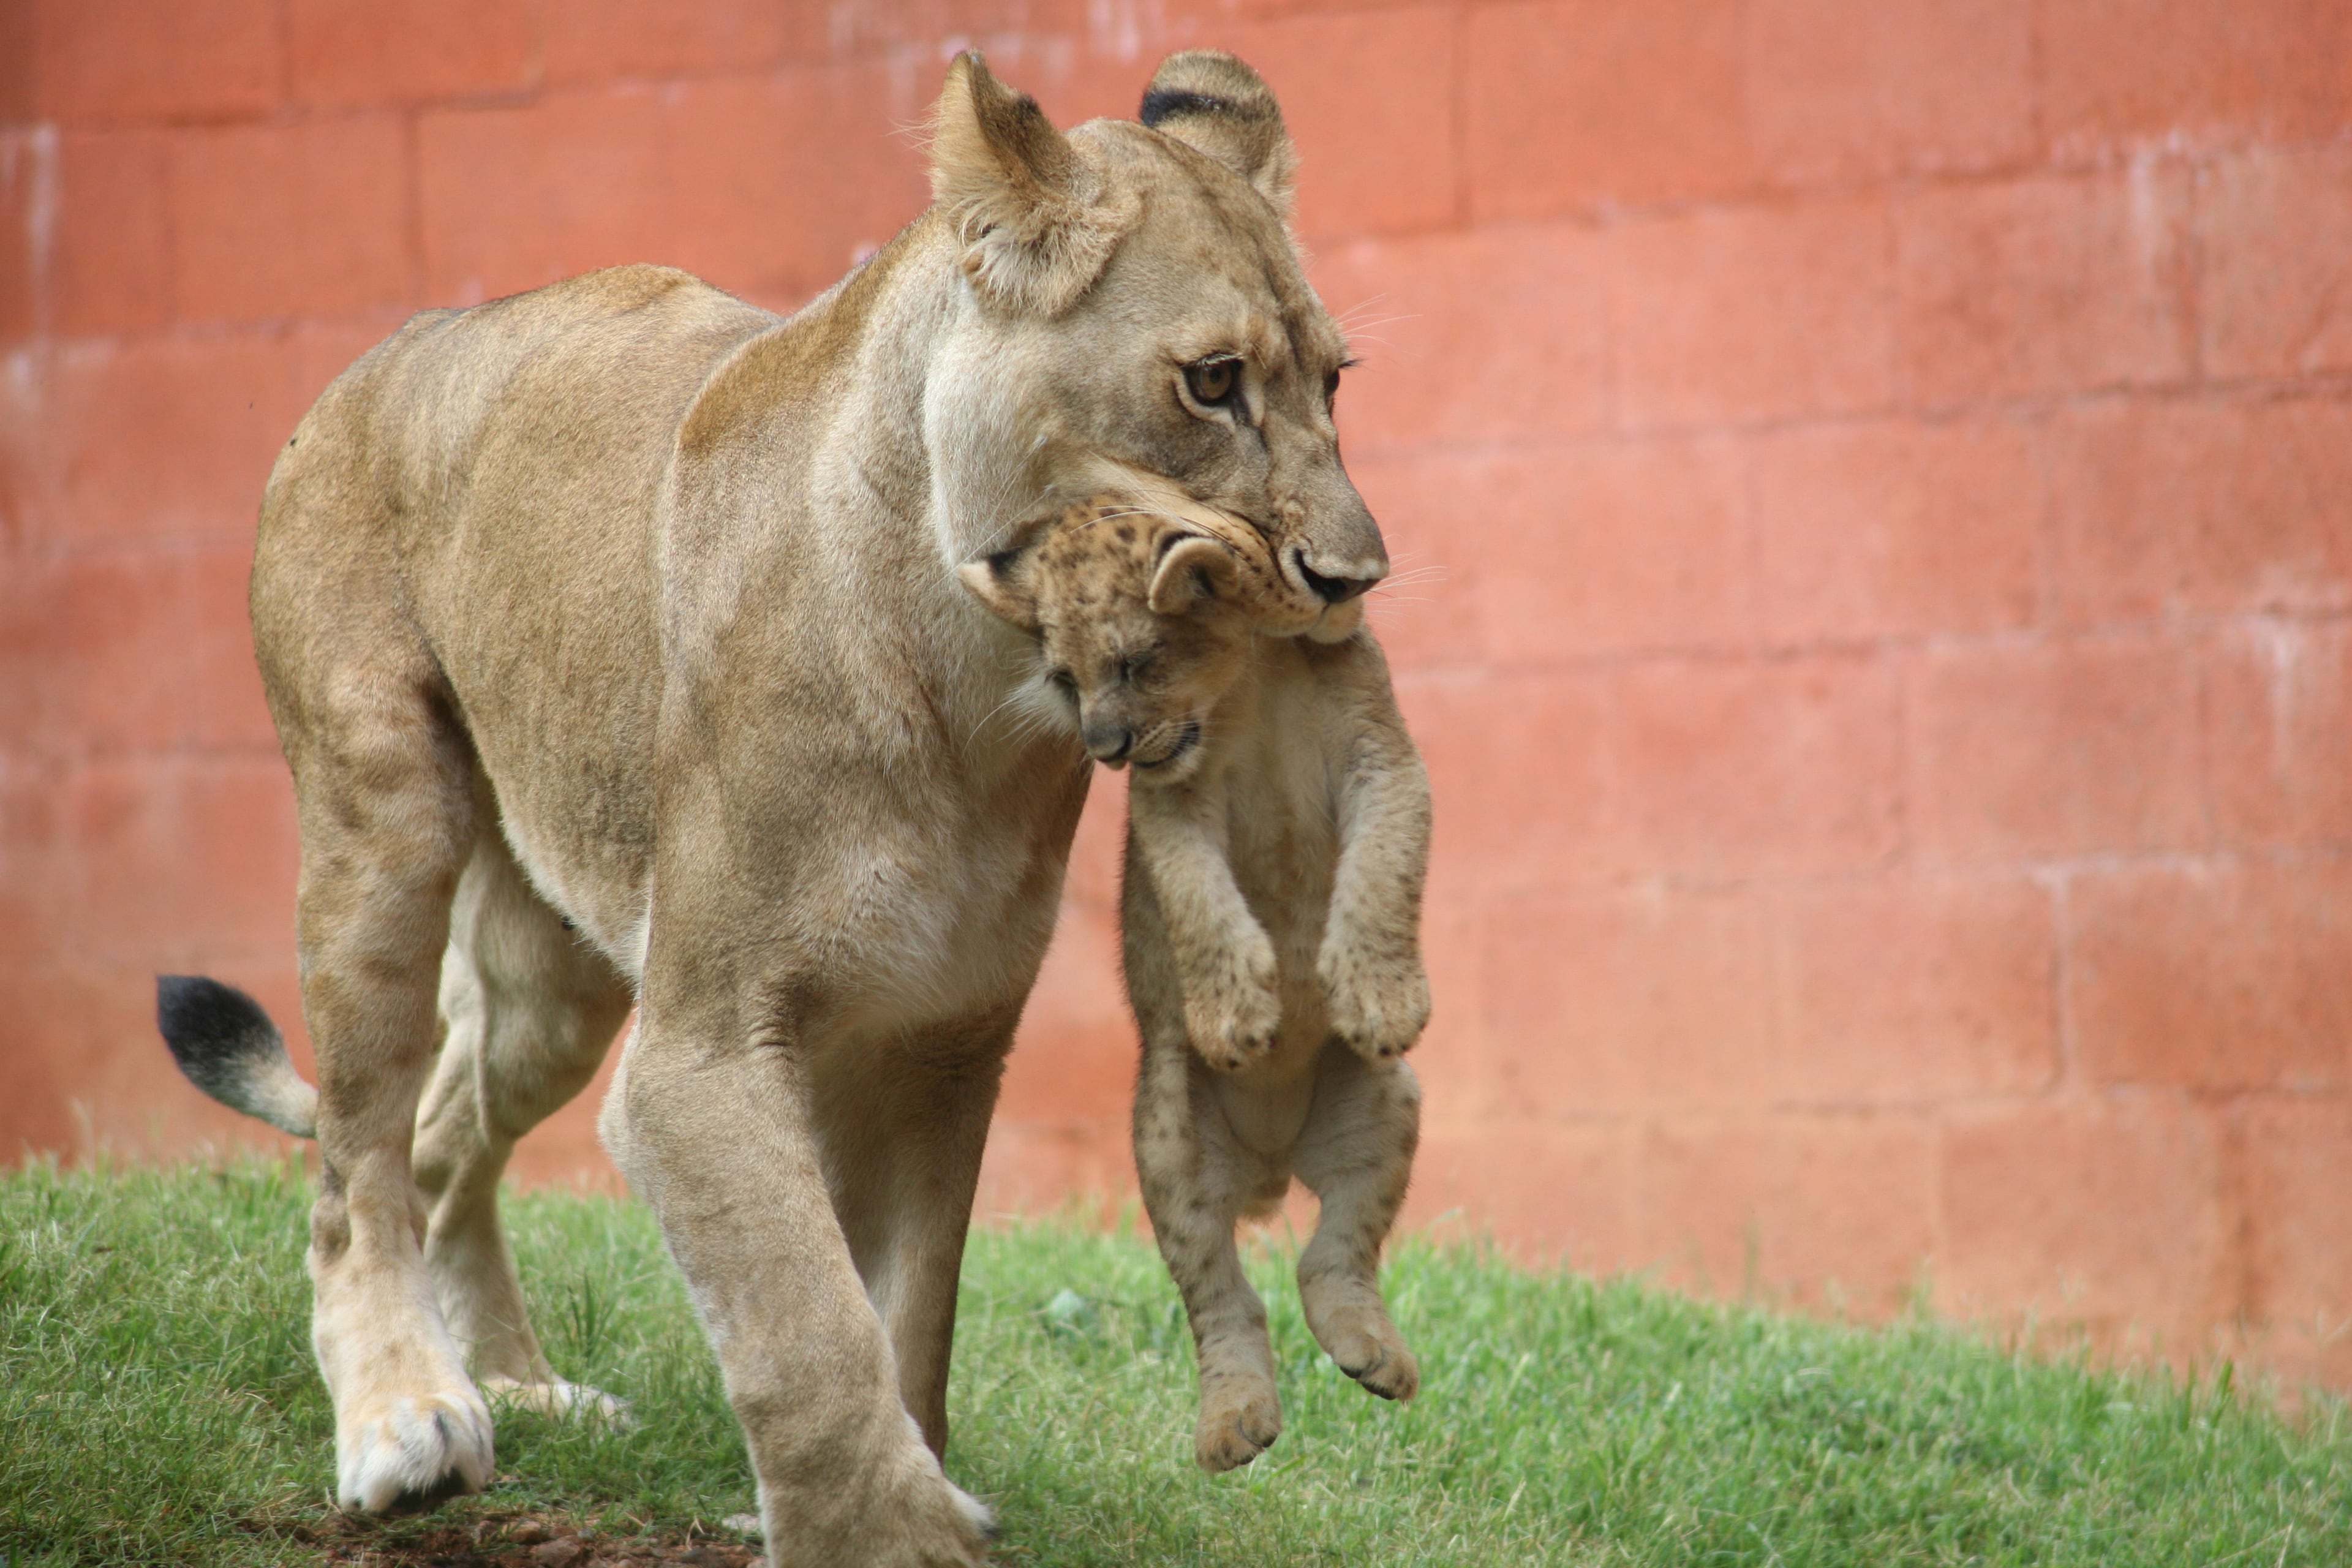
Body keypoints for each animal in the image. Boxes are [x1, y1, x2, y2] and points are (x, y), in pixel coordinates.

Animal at [959, 495, 1429, 1474]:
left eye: (1137, 661)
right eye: (1063, 678)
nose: (1102, 748)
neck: (1257, 675)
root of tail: (1273, 1166)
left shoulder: (1385, 760)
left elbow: (1385, 867)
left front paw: (1381, 997)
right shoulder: (1171, 802)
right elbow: (1196, 897)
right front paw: (1238, 1015)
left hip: (1384, 1105)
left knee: (1333, 1255)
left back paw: (1373, 1357)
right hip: (1170, 1141)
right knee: (1223, 1297)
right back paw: (1233, 1428)